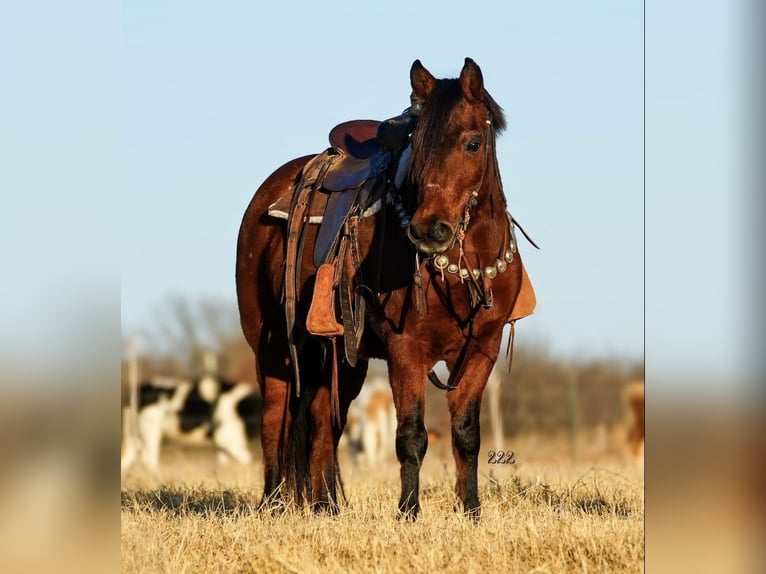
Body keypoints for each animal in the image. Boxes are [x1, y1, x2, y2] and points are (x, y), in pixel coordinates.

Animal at [121, 376, 260, 474]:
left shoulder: (224, 444)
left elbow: (225, 463)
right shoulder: (227, 438)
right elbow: (246, 459)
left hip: (135, 433)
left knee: (129, 457)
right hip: (150, 430)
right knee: (148, 459)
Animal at [237, 58, 536, 520]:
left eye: (472, 143)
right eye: (418, 146)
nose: (429, 230)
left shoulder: (482, 348)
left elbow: (467, 434)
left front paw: (470, 511)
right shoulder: (405, 350)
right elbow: (411, 435)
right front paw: (409, 512)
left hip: (343, 359)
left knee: (325, 421)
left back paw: (326, 508)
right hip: (272, 350)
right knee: (275, 420)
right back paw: (273, 506)